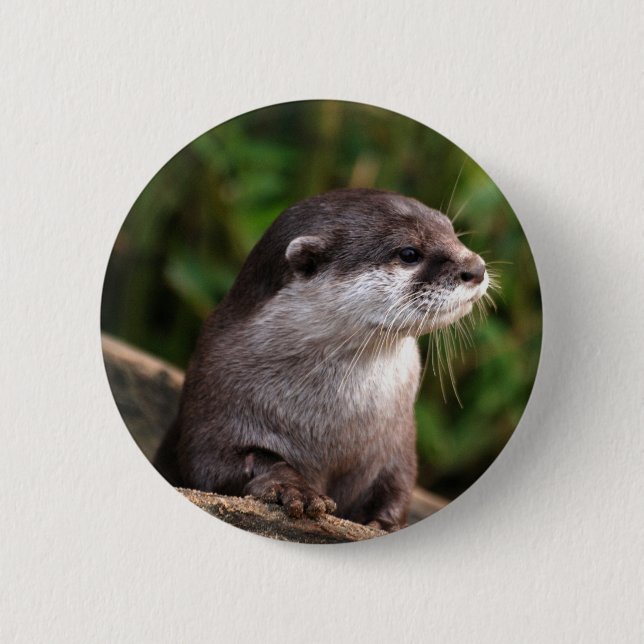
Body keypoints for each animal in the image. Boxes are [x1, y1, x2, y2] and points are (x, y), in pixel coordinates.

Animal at [154, 188, 488, 531]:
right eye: (409, 253)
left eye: (451, 230)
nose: (475, 268)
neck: (331, 427)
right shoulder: (213, 402)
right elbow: (218, 465)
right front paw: (293, 488)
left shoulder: (398, 441)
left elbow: (398, 483)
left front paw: (387, 524)